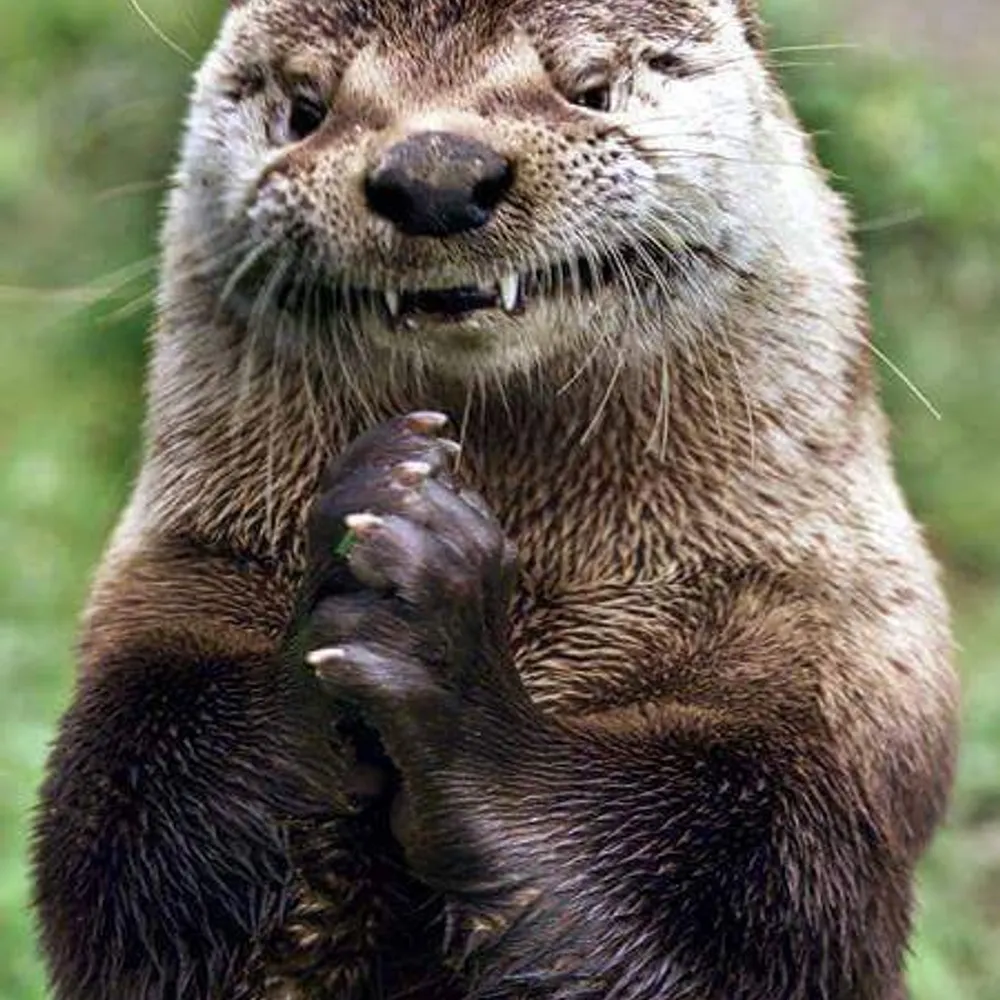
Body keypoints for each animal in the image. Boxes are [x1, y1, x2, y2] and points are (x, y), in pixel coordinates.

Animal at [31, 1, 958, 998]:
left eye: (589, 88)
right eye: (305, 108)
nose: (435, 173)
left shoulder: (830, 661)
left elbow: (738, 908)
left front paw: (455, 670)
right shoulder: (173, 594)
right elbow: (140, 852)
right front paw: (365, 527)